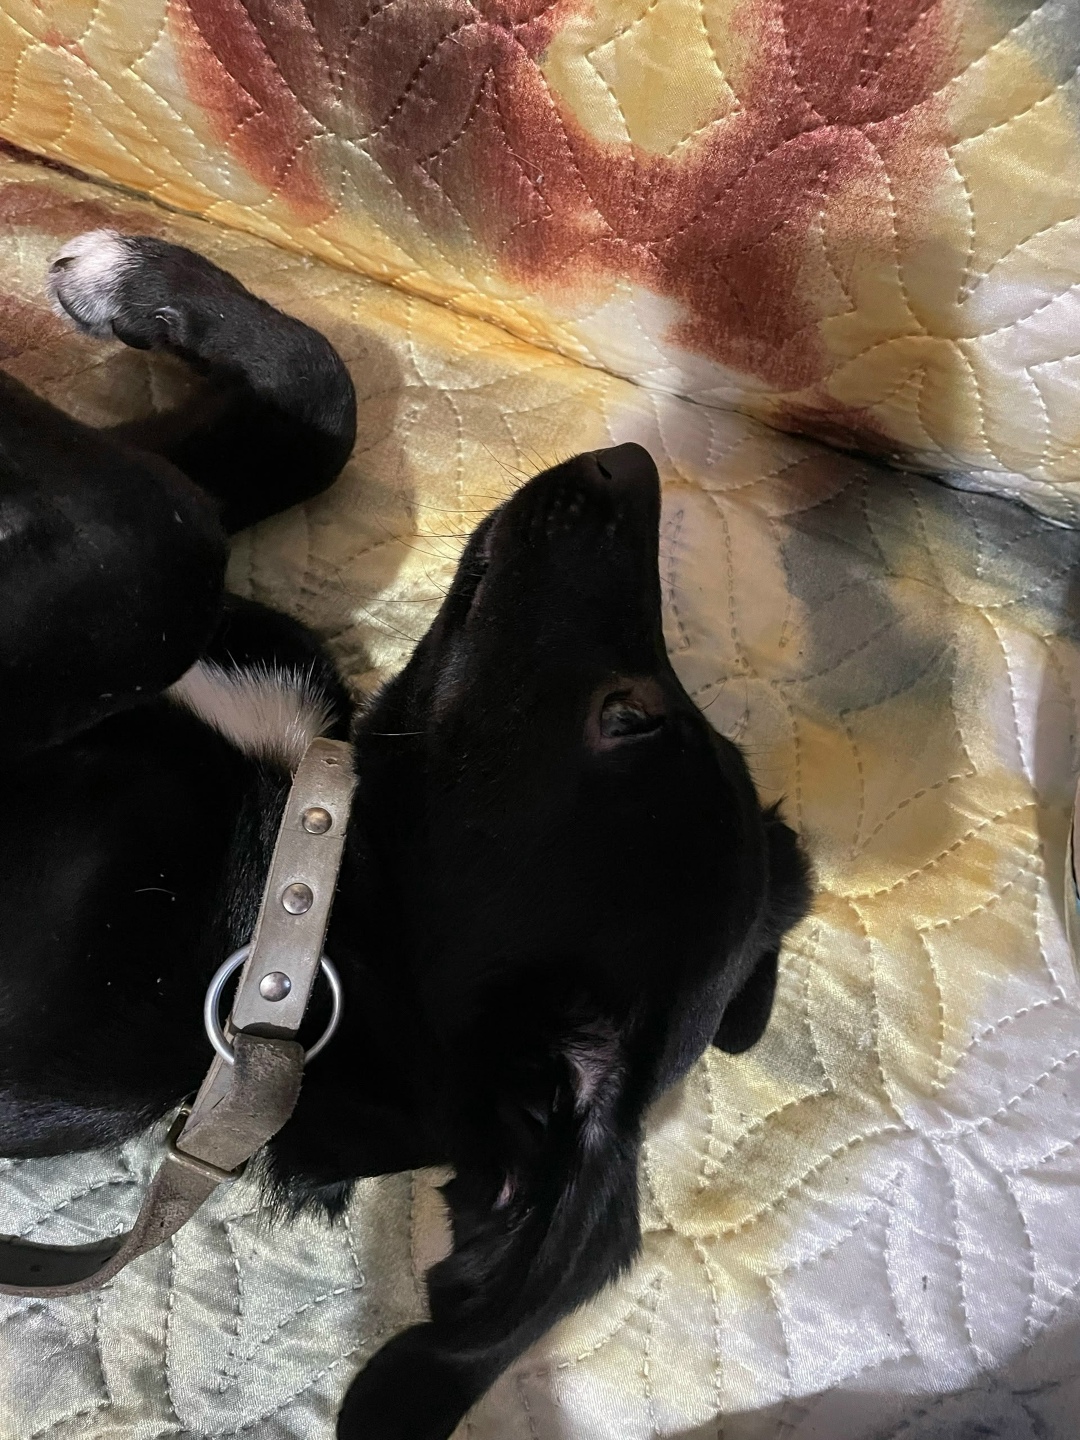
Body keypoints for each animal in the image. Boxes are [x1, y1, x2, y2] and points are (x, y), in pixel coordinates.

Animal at [0, 233, 811, 1439]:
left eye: (628, 716)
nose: (629, 466)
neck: (279, 878)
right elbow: (314, 406)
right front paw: (136, 284)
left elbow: (165, 542)